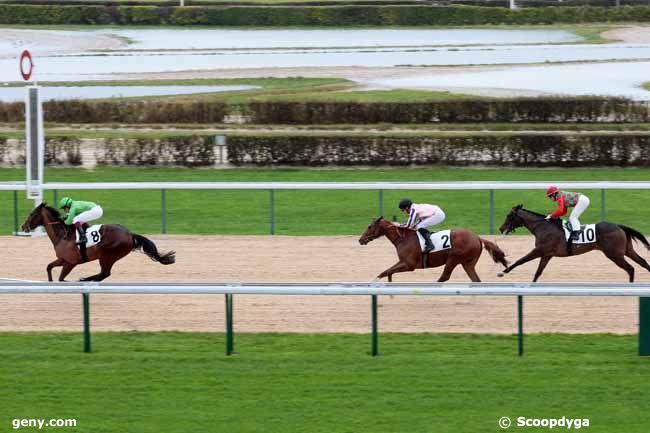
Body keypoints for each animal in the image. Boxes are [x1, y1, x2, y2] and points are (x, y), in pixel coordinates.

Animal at [360, 215, 506, 282]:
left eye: (369, 227)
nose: (360, 240)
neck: (403, 238)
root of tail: (478, 238)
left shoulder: (409, 264)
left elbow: (386, 271)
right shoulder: (403, 262)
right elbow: (387, 271)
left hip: (454, 258)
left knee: (445, 276)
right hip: (467, 263)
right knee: (476, 280)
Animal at [496, 204, 648, 282]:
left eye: (509, 216)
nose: (501, 228)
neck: (543, 227)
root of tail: (618, 225)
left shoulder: (539, 250)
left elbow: (521, 260)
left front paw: (503, 272)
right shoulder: (547, 254)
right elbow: (538, 272)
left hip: (614, 254)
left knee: (630, 268)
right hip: (626, 250)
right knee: (643, 262)